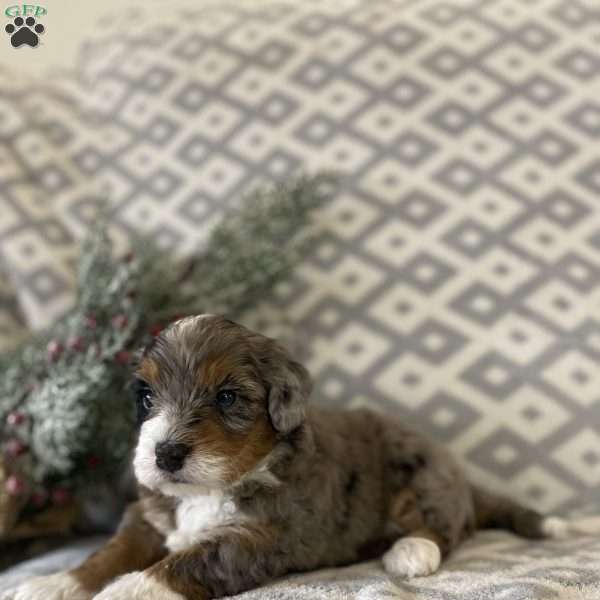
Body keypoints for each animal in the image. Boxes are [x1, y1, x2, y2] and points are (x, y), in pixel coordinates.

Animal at [3, 316, 596, 596]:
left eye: (228, 398)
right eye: (146, 397)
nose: (165, 453)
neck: (214, 487)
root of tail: (462, 477)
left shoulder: (261, 537)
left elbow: (186, 561)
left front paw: (128, 590)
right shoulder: (148, 515)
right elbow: (108, 552)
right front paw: (56, 583)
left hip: (423, 477)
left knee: (443, 527)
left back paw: (410, 551)